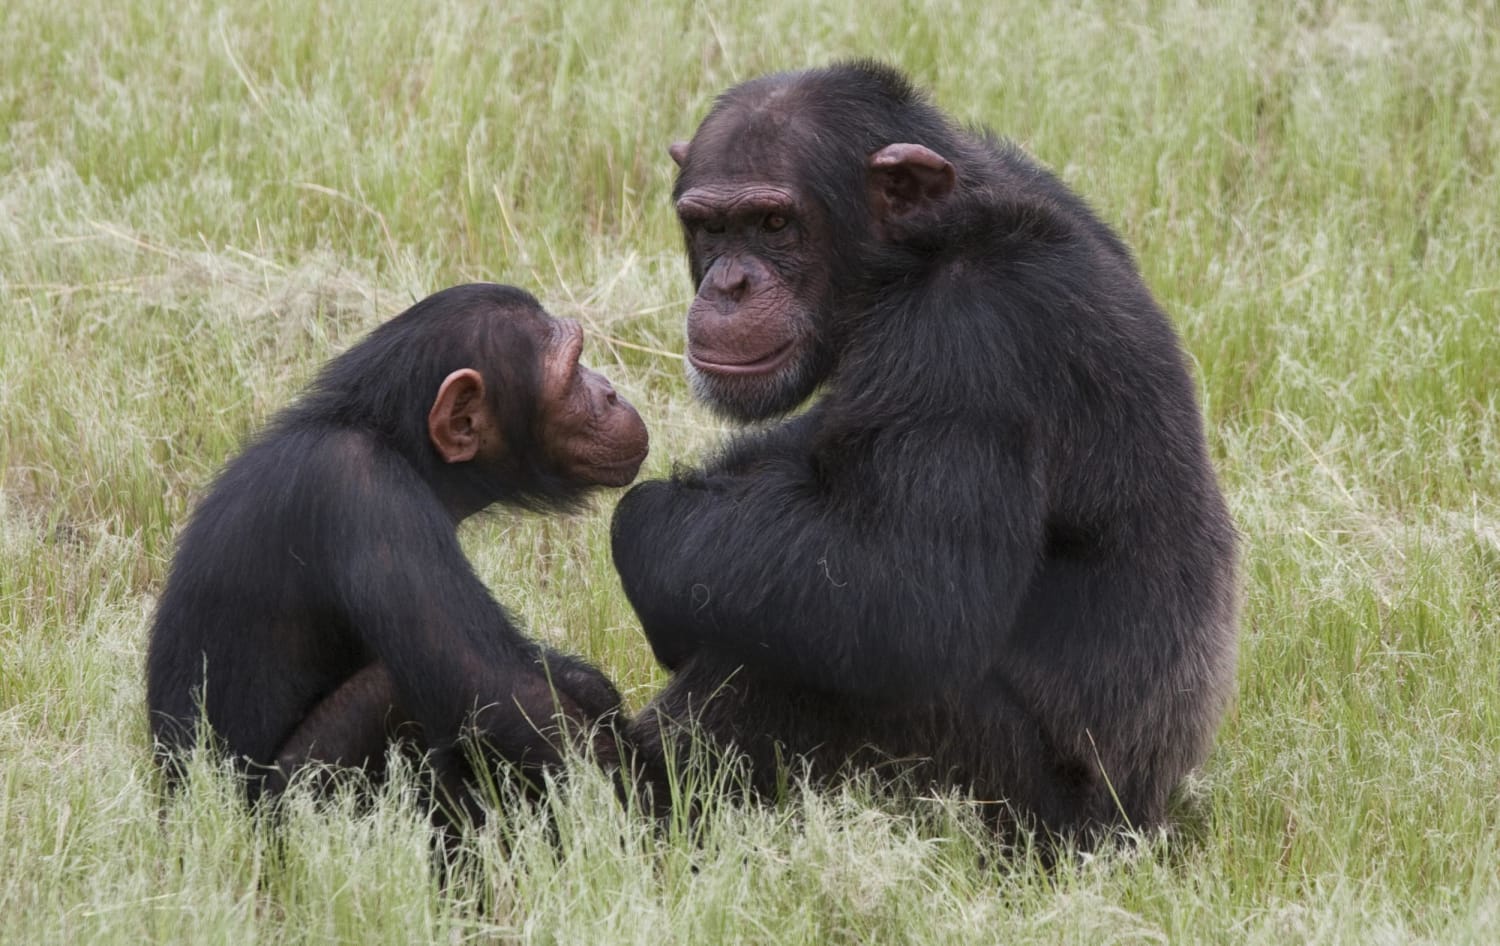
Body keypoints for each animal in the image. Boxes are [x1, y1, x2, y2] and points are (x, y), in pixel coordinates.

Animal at [141, 278, 651, 815]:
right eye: (572, 372)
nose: (609, 391)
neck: (398, 443)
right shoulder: (367, 494)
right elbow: (496, 688)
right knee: (391, 690)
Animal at [609, 61, 1242, 845]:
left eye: (775, 223)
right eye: (710, 226)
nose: (729, 283)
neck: (922, 250)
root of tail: (1148, 819)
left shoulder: (969, 342)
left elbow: (911, 588)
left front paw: (643, 524)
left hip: (1012, 806)